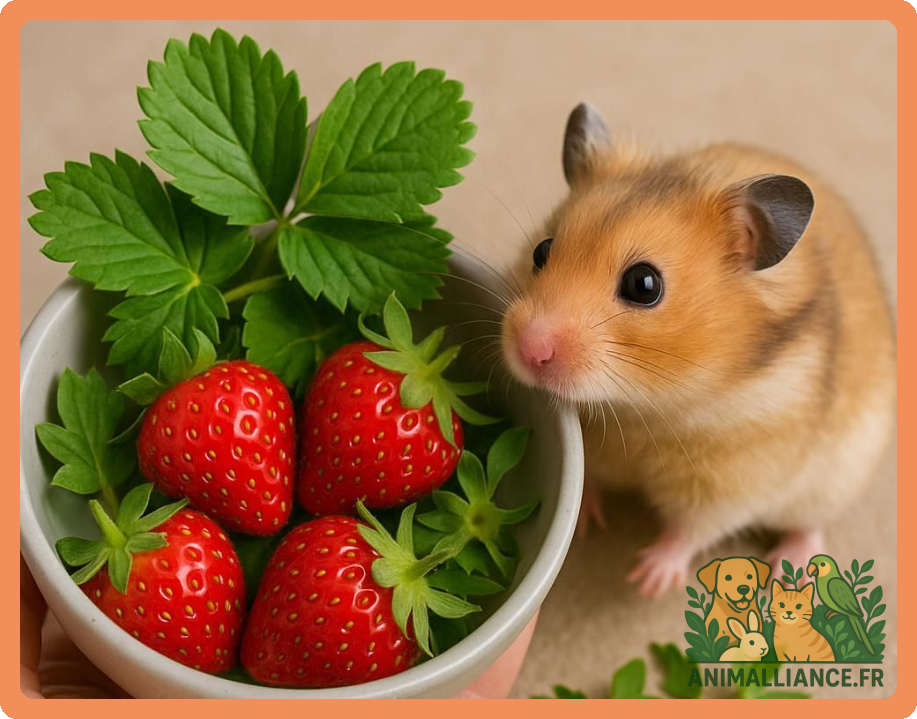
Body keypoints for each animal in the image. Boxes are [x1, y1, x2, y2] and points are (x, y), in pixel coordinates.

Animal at [500, 103, 896, 597]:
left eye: (644, 284)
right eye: (542, 250)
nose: (529, 349)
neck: (643, 409)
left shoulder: (732, 482)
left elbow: (691, 530)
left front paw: (646, 579)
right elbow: (589, 478)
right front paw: (587, 523)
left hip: (837, 479)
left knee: (810, 525)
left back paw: (790, 566)